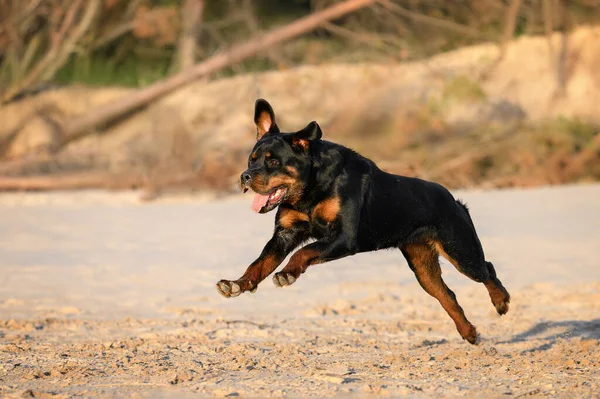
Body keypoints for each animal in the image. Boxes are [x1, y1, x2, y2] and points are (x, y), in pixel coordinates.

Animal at [217, 99, 510, 344]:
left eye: (274, 162)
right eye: (251, 160)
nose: (244, 176)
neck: (310, 189)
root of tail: (453, 199)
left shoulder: (343, 237)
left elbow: (305, 251)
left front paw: (288, 273)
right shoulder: (285, 234)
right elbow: (260, 263)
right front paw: (238, 284)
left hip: (460, 249)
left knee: (487, 269)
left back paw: (501, 301)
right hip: (422, 267)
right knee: (447, 295)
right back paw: (468, 332)